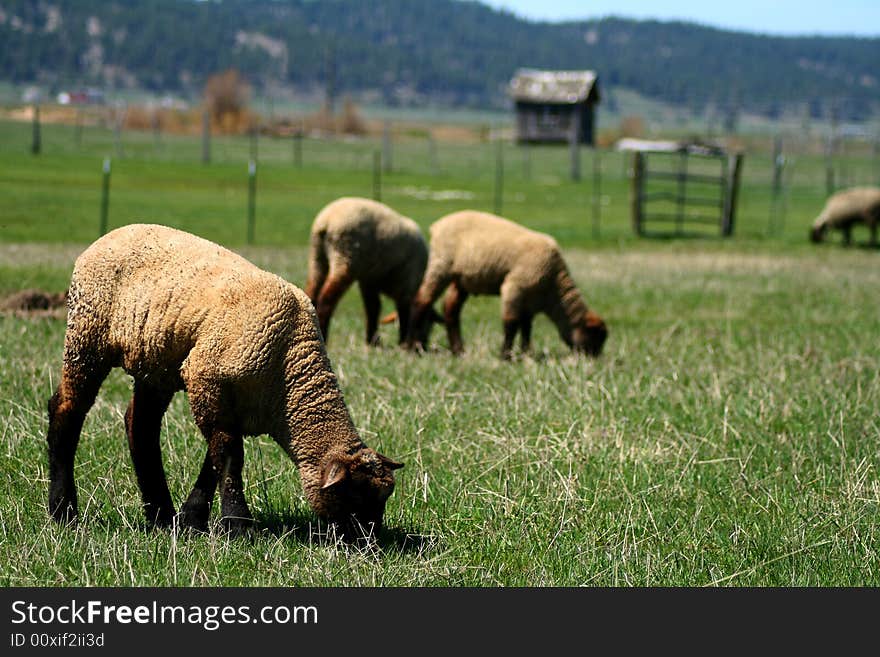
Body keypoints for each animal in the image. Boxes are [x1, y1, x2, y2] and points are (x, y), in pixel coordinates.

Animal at [47, 223, 402, 540]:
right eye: (355, 496)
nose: (371, 541)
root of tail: (107, 237)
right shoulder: (206, 381)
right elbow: (229, 458)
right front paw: (237, 526)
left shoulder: (233, 407)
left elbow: (215, 459)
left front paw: (193, 519)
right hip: (87, 335)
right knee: (67, 410)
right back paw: (64, 511)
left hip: (155, 363)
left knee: (141, 426)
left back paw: (161, 516)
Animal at [306, 196, 440, 346]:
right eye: (428, 324)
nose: (422, 346)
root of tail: (326, 221)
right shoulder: (406, 282)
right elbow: (403, 312)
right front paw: (402, 341)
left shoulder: (369, 281)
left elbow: (373, 308)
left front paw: (373, 341)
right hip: (346, 257)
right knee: (327, 300)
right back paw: (324, 335)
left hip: (317, 259)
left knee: (311, 291)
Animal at [410, 211, 608, 358]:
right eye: (594, 338)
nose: (594, 359)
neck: (553, 292)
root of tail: (438, 225)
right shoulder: (515, 286)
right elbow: (511, 322)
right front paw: (505, 356)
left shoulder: (530, 300)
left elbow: (526, 326)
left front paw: (526, 353)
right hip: (441, 265)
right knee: (422, 300)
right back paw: (412, 346)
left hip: (461, 279)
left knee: (450, 309)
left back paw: (458, 351)